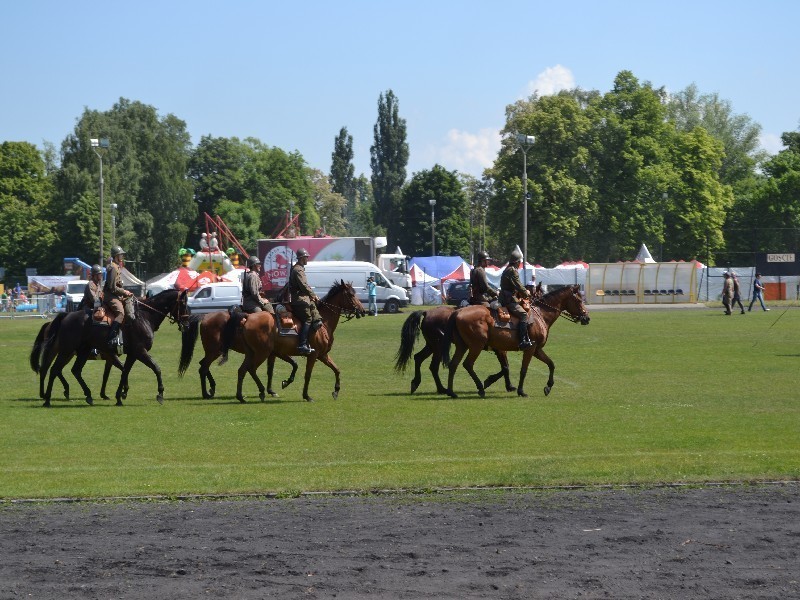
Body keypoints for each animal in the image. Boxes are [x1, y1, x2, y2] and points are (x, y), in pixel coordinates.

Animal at [41, 288, 189, 406]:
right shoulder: (140, 352)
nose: (187, 324)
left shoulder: (131, 354)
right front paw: (160, 394)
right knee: (53, 370)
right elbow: (156, 368)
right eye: (183, 303)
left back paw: (87, 395)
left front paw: (119, 396)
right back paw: (47, 399)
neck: (144, 317)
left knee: (75, 370)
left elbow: (125, 372)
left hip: (82, 351)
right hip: (66, 351)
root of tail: (66, 315)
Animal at [227, 280, 368, 404]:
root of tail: (247, 317)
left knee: (242, 370)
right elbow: (307, 375)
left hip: (252, 353)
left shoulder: (323, 355)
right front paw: (306, 395)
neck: (323, 323)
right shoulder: (313, 355)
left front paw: (336, 391)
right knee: (251, 369)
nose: (363, 310)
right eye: (351, 294)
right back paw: (261, 391)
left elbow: (336, 370)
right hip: (262, 353)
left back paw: (240, 397)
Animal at [440, 284, 592, 398]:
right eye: (579, 300)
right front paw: (520, 391)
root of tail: (457, 312)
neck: (540, 314)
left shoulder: (536, 350)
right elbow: (522, 369)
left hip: (462, 346)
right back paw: (480, 389)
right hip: (476, 346)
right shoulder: (529, 349)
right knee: (468, 364)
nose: (587, 318)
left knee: (453, 365)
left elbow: (551, 364)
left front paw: (548, 386)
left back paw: (452, 392)